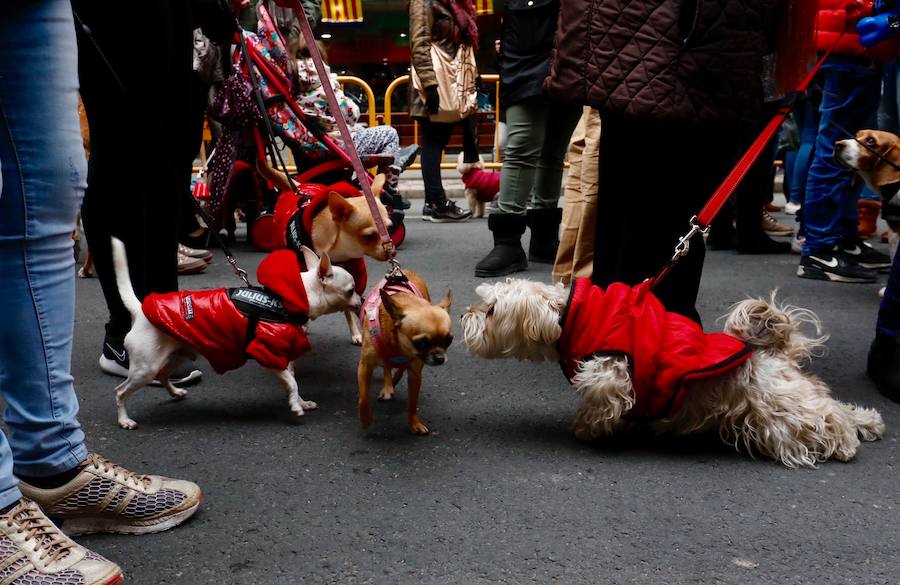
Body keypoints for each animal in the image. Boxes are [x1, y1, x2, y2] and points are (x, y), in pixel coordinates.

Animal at [113, 237, 362, 428]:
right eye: (350, 291)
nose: (360, 301)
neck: (287, 300)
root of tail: (140, 310)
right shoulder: (268, 355)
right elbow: (292, 383)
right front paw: (296, 406)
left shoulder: (284, 359)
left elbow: (292, 381)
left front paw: (301, 402)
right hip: (145, 368)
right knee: (121, 391)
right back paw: (124, 420)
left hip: (178, 354)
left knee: (163, 374)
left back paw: (175, 393)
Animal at [460, 278, 884, 466]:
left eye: (492, 310)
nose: (466, 315)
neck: (569, 320)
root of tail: (772, 353)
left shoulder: (610, 371)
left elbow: (599, 401)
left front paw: (586, 430)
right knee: (834, 405)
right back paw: (868, 421)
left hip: (778, 407)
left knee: (823, 416)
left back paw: (845, 442)